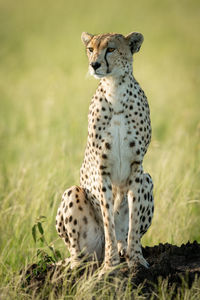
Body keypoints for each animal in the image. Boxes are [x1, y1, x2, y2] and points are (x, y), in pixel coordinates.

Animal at [55, 31, 154, 274]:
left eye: (110, 49)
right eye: (90, 49)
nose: (94, 64)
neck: (114, 88)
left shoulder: (137, 168)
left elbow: (134, 220)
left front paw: (136, 260)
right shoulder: (102, 170)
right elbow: (108, 218)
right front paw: (110, 266)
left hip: (147, 178)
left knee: (123, 236)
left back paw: (123, 250)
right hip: (73, 195)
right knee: (78, 252)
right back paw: (78, 266)